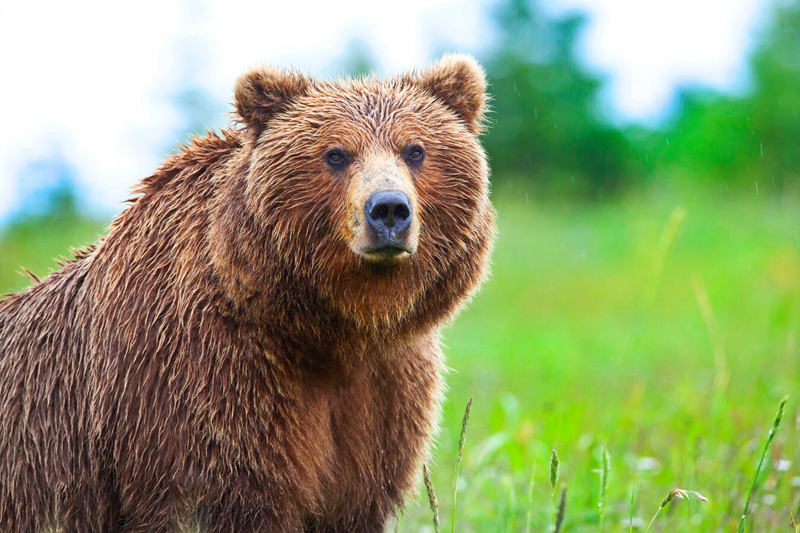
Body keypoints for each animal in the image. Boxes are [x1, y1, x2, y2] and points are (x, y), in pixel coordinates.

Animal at [0, 54, 495, 532]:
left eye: (415, 150)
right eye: (336, 154)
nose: (389, 208)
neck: (336, 327)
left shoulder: (388, 390)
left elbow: (356, 499)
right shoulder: (212, 382)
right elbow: (241, 491)